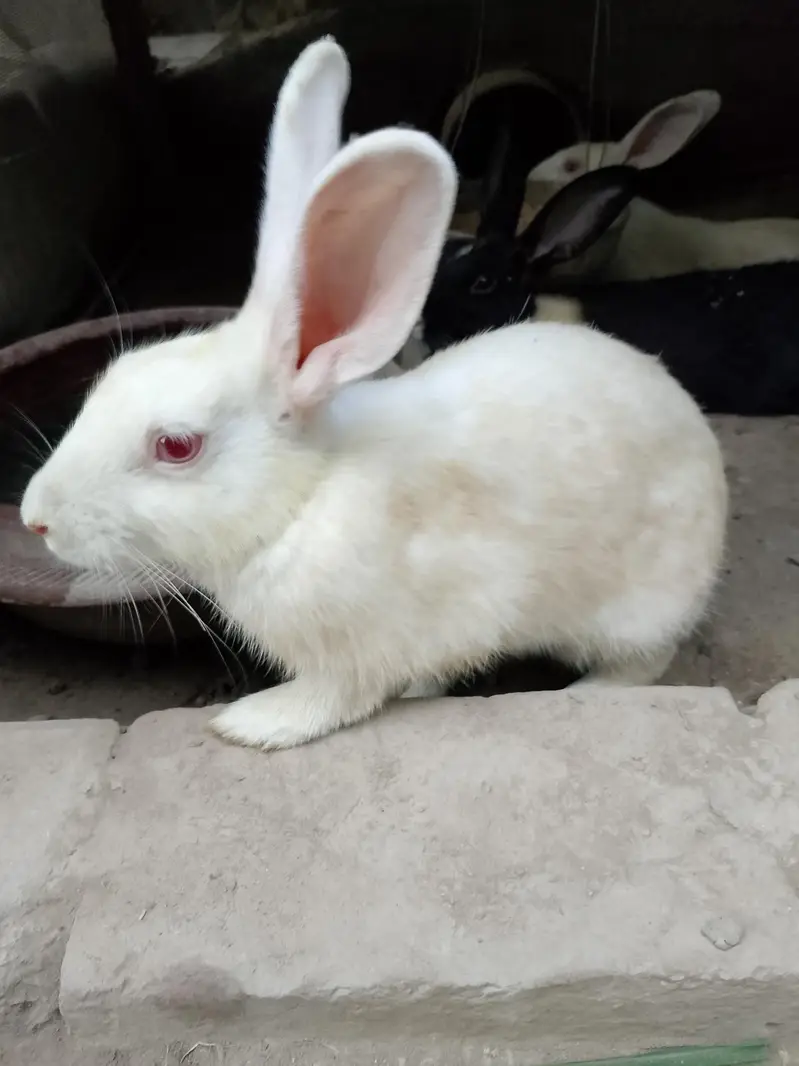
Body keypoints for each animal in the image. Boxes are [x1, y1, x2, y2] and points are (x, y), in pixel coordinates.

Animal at [21, 38, 727, 752]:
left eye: (176, 445)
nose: (35, 518)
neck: (301, 499)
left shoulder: (369, 647)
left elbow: (339, 695)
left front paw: (254, 722)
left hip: (635, 607)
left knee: (644, 661)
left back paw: (589, 690)